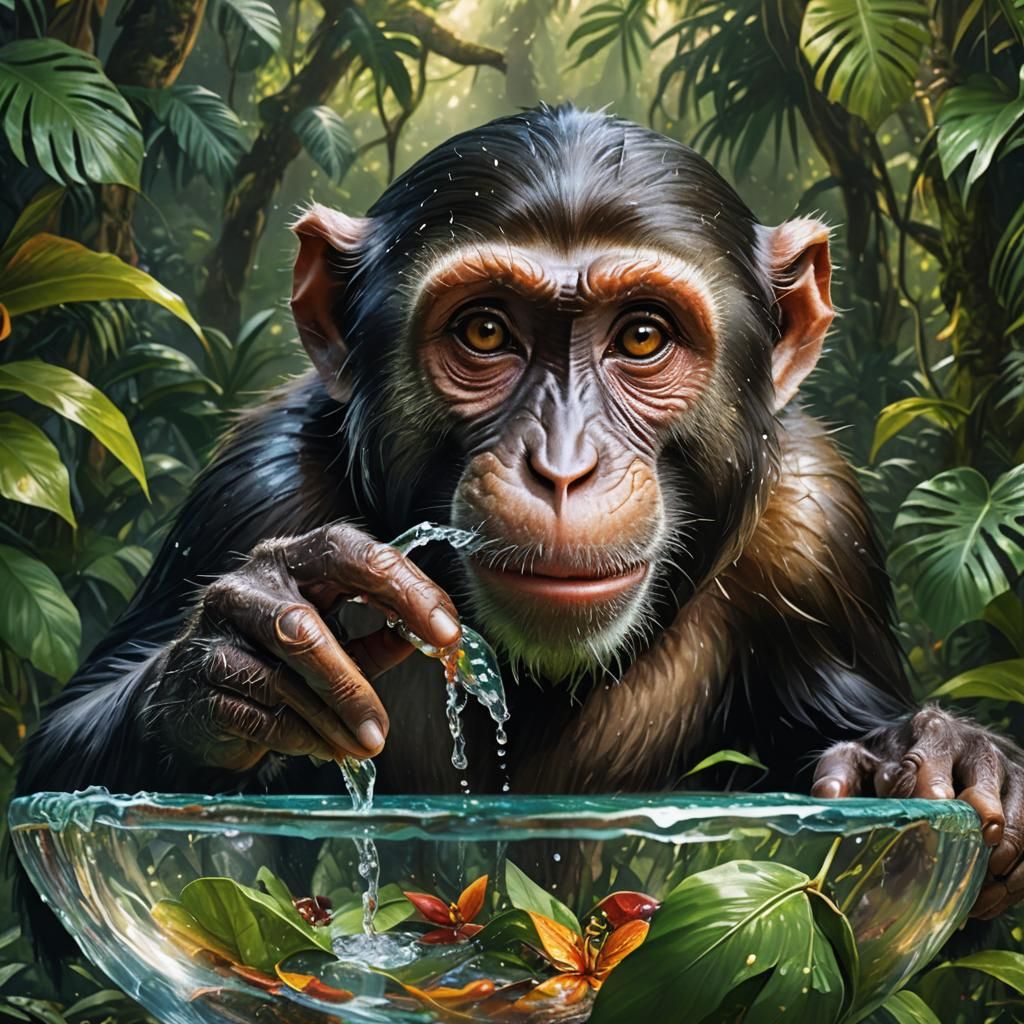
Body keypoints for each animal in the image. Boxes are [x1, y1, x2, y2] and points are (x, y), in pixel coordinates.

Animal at [15, 105, 1024, 946]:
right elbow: (53, 787)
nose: (564, 466)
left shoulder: (817, 528)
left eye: (643, 337)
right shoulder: (253, 487)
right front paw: (252, 645)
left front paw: (931, 763)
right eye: (488, 332)